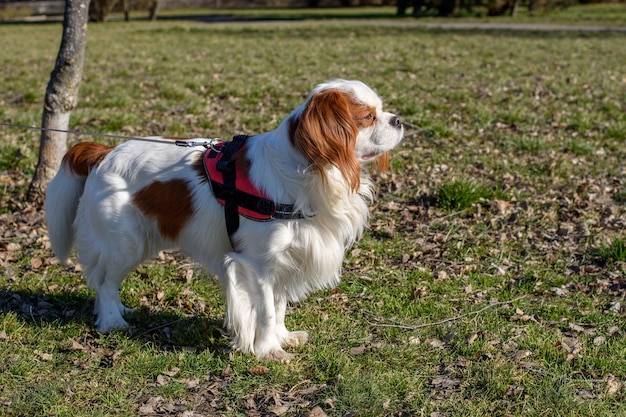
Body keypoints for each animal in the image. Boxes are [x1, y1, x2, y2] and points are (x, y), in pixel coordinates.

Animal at [46, 79, 402, 360]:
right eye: (367, 117)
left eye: (382, 111)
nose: (398, 120)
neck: (308, 171)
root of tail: (103, 152)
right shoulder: (256, 264)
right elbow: (267, 311)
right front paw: (269, 350)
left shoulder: (284, 260)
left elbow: (279, 305)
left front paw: (283, 338)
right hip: (125, 243)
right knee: (105, 282)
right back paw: (112, 322)